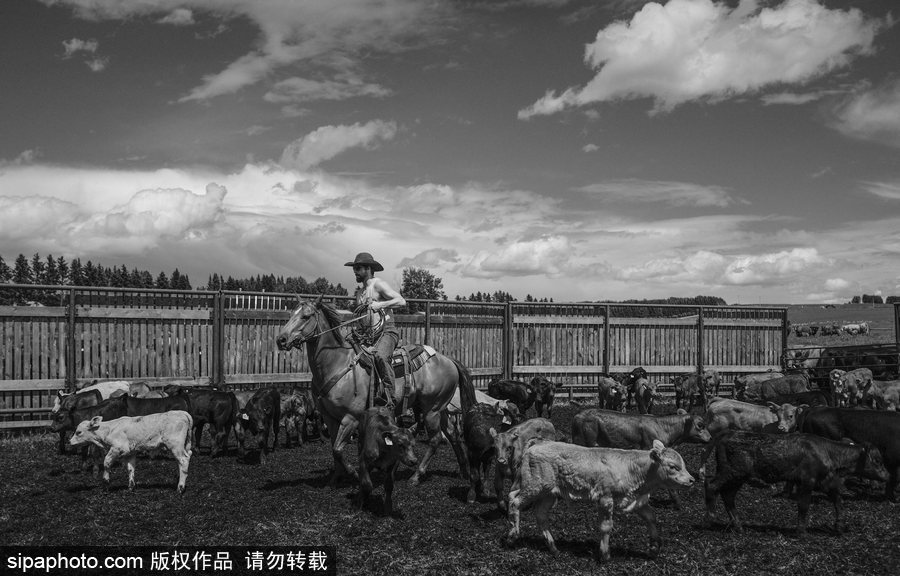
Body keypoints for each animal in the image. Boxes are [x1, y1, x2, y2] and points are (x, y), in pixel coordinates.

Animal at [275, 294, 476, 486]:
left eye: (306, 316)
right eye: (291, 314)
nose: (281, 339)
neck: (336, 363)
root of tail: (448, 360)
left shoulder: (351, 418)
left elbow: (338, 449)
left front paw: (354, 473)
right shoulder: (329, 417)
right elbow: (333, 448)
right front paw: (335, 479)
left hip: (431, 410)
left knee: (435, 439)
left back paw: (416, 476)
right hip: (438, 408)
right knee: (453, 434)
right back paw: (464, 471)